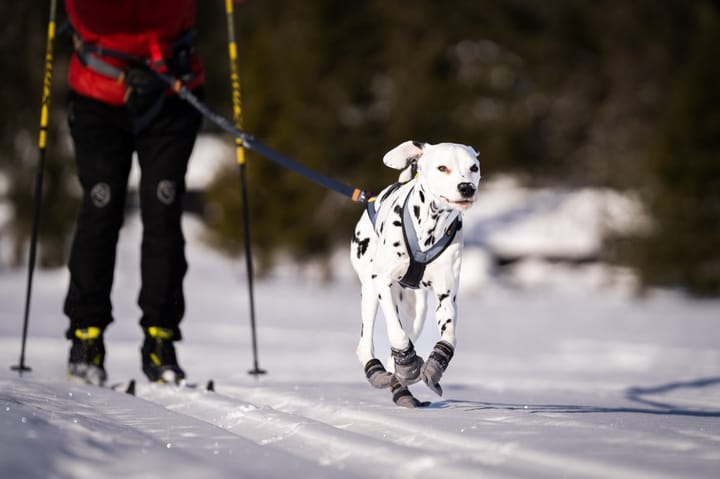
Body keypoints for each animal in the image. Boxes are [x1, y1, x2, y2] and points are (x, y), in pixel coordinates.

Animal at [352, 141, 480, 406]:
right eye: (442, 167)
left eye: (474, 167)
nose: (466, 187)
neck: (430, 228)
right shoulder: (383, 283)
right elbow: (397, 334)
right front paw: (408, 362)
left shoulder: (446, 295)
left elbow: (448, 337)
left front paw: (434, 365)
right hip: (369, 291)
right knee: (365, 343)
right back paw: (378, 370)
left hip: (416, 310)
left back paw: (400, 387)